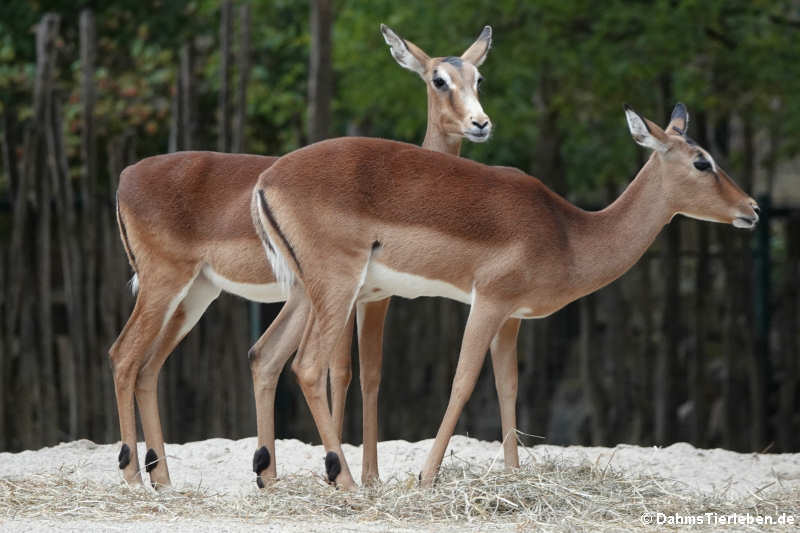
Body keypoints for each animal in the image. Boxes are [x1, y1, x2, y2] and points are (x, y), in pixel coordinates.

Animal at [108, 26, 494, 490]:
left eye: (478, 77)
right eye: (439, 79)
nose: (480, 123)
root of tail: (126, 177)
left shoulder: (363, 299)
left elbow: (357, 373)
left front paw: (355, 475)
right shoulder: (361, 298)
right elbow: (349, 373)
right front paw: (358, 476)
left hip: (196, 295)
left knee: (150, 367)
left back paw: (165, 480)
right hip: (166, 286)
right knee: (124, 356)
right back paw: (133, 477)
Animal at [253, 103, 760, 486]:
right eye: (702, 161)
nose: (752, 209)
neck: (569, 234)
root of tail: (268, 180)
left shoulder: (512, 317)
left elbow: (508, 387)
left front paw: (514, 476)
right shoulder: (489, 303)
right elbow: (462, 382)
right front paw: (426, 477)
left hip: (307, 294)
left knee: (265, 356)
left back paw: (271, 479)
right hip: (336, 288)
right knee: (307, 365)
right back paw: (345, 482)